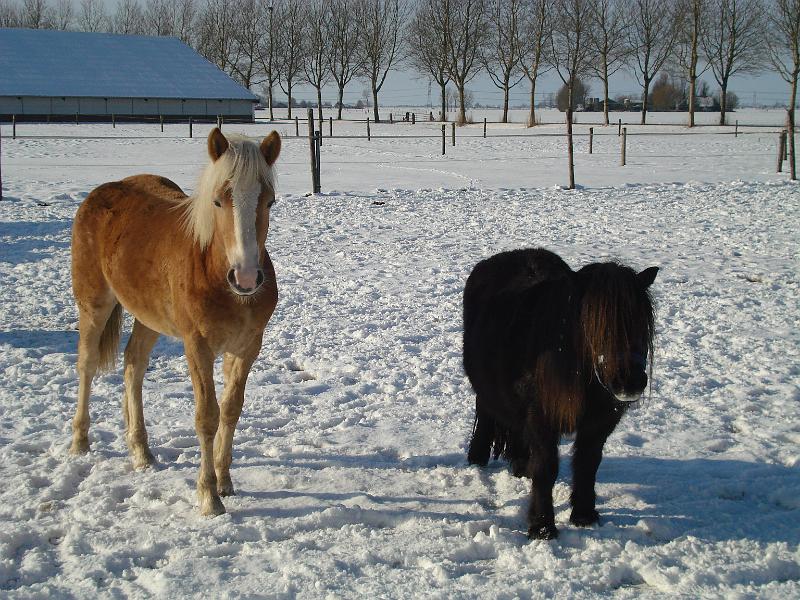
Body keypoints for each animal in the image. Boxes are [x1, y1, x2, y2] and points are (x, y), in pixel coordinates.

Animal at [70, 126, 282, 516]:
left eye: (269, 201)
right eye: (218, 201)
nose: (246, 278)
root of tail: (101, 191)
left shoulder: (247, 346)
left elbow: (231, 410)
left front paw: (225, 480)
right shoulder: (197, 346)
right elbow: (207, 416)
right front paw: (208, 496)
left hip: (148, 317)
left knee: (133, 365)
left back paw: (141, 452)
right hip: (94, 304)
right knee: (87, 365)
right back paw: (79, 442)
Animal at [462, 247, 656, 540]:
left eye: (641, 322)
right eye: (593, 323)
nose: (629, 383)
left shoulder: (599, 424)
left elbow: (587, 464)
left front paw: (584, 515)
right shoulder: (542, 419)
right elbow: (546, 468)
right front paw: (542, 528)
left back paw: (520, 465)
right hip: (488, 392)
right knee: (485, 413)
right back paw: (477, 459)